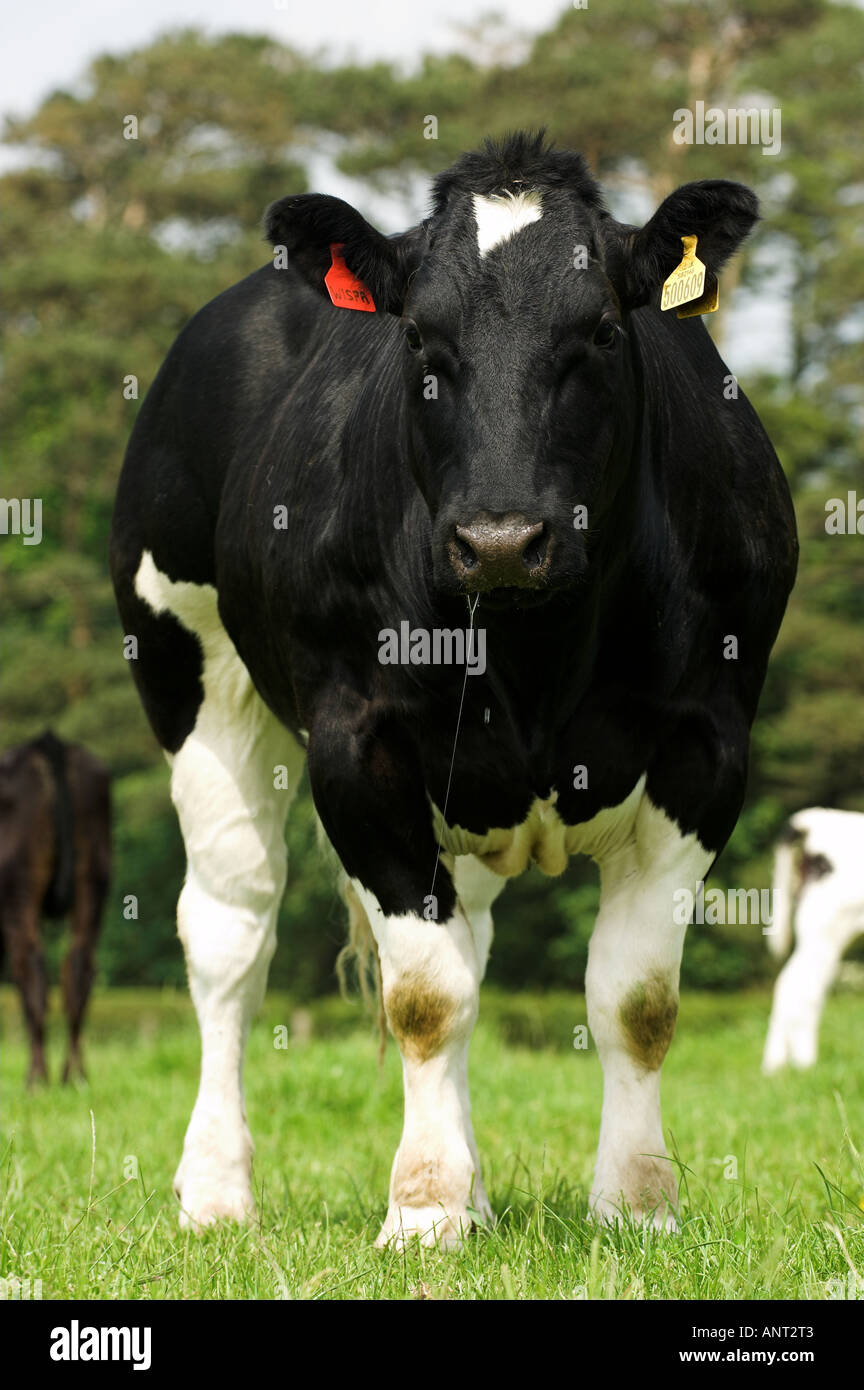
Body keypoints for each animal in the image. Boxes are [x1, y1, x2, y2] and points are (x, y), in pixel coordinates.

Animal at [113, 135, 800, 1245]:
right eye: (419, 341)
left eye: (604, 329)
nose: (501, 539)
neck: (536, 648)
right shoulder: (360, 750)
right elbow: (426, 997)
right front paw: (425, 1207)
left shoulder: (707, 746)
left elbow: (635, 999)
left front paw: (635, 1204)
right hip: (190, 675)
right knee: (230, 935)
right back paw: (217, 1190)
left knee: (467, 936)